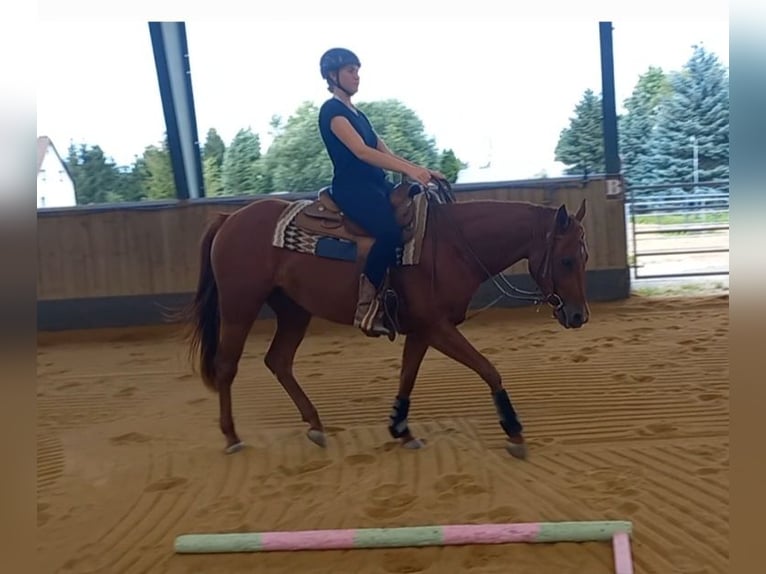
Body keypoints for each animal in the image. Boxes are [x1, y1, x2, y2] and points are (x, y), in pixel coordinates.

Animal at [177, 181, 592, 464]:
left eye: (585, 257)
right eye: (566, 260)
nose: (578, 316)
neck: (451, 245)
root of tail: (230, 218)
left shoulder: (423, 329)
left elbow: (407, 376)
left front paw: (401, 430)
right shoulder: (438, 327)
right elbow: (489, 370)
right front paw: (514, 432)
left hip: (294, 310)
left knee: (278, 361)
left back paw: (315, 426)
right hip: (239, 306)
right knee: (226, 366)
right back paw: (232, 436)